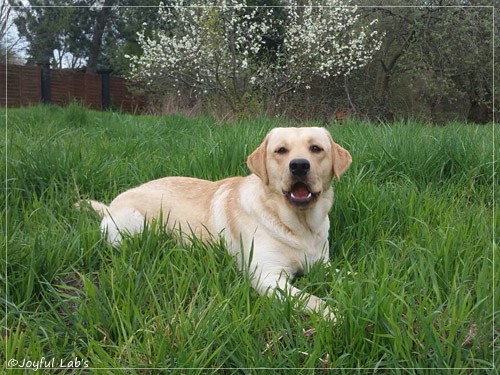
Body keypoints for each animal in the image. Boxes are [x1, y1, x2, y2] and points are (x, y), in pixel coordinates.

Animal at [80, 127, 350, 320]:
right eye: (281, 151)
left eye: (316, 148)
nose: (299, 165)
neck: (299, 226)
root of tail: (109, 206)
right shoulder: (268, 277)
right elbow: (312, 300)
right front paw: (337, 315)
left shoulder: (322, 264)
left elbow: (347, 274)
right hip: (136, 226)